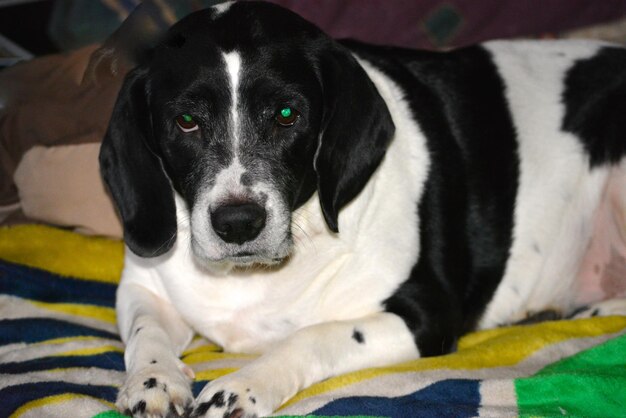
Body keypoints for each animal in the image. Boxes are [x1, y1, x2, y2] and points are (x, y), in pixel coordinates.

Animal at [96, 1, 624, 416]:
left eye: (287, 114)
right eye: (186, 121)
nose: (238, 224)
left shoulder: (425, 317)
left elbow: (314, 335)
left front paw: (245, 385)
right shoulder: (142, 286)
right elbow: (145, 332)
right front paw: (153, 380)